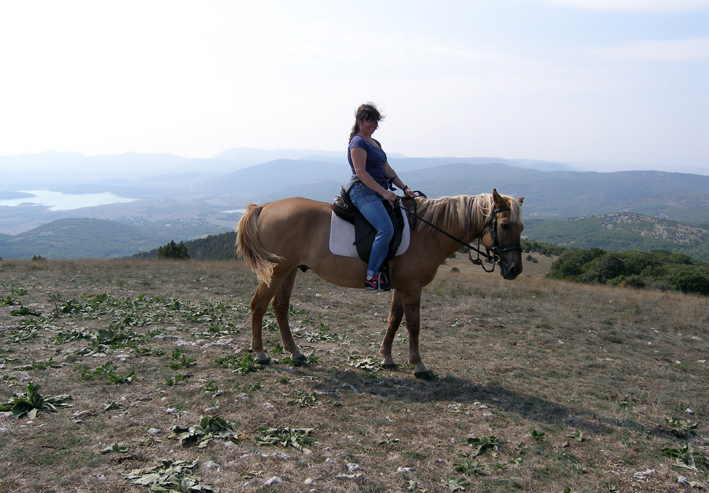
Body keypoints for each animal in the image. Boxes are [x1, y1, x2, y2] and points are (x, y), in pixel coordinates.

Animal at [235, 190, 524, 378]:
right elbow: (413, 325)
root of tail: (263, 207)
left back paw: (295, 353)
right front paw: (418, 365)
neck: (428, 232)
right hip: (276, 272)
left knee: (280, 306)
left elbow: (394, 320)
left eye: (521, 228)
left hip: (290, 271)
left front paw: (387, 357)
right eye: (504, 225)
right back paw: (260, 354)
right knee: (258, 305)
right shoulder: (412, 287)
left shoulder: (402, 286)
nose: (515, 269)